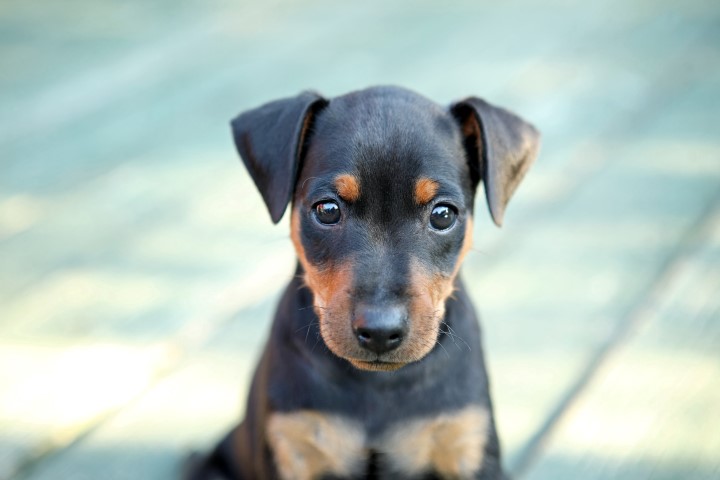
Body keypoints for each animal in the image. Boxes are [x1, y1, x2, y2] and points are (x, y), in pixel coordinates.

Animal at [186, 86, 540, 480]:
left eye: (443, 215)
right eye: (327, 210)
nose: (380, 331)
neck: (377, 383)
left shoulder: (467, 443)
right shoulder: (292, 446)